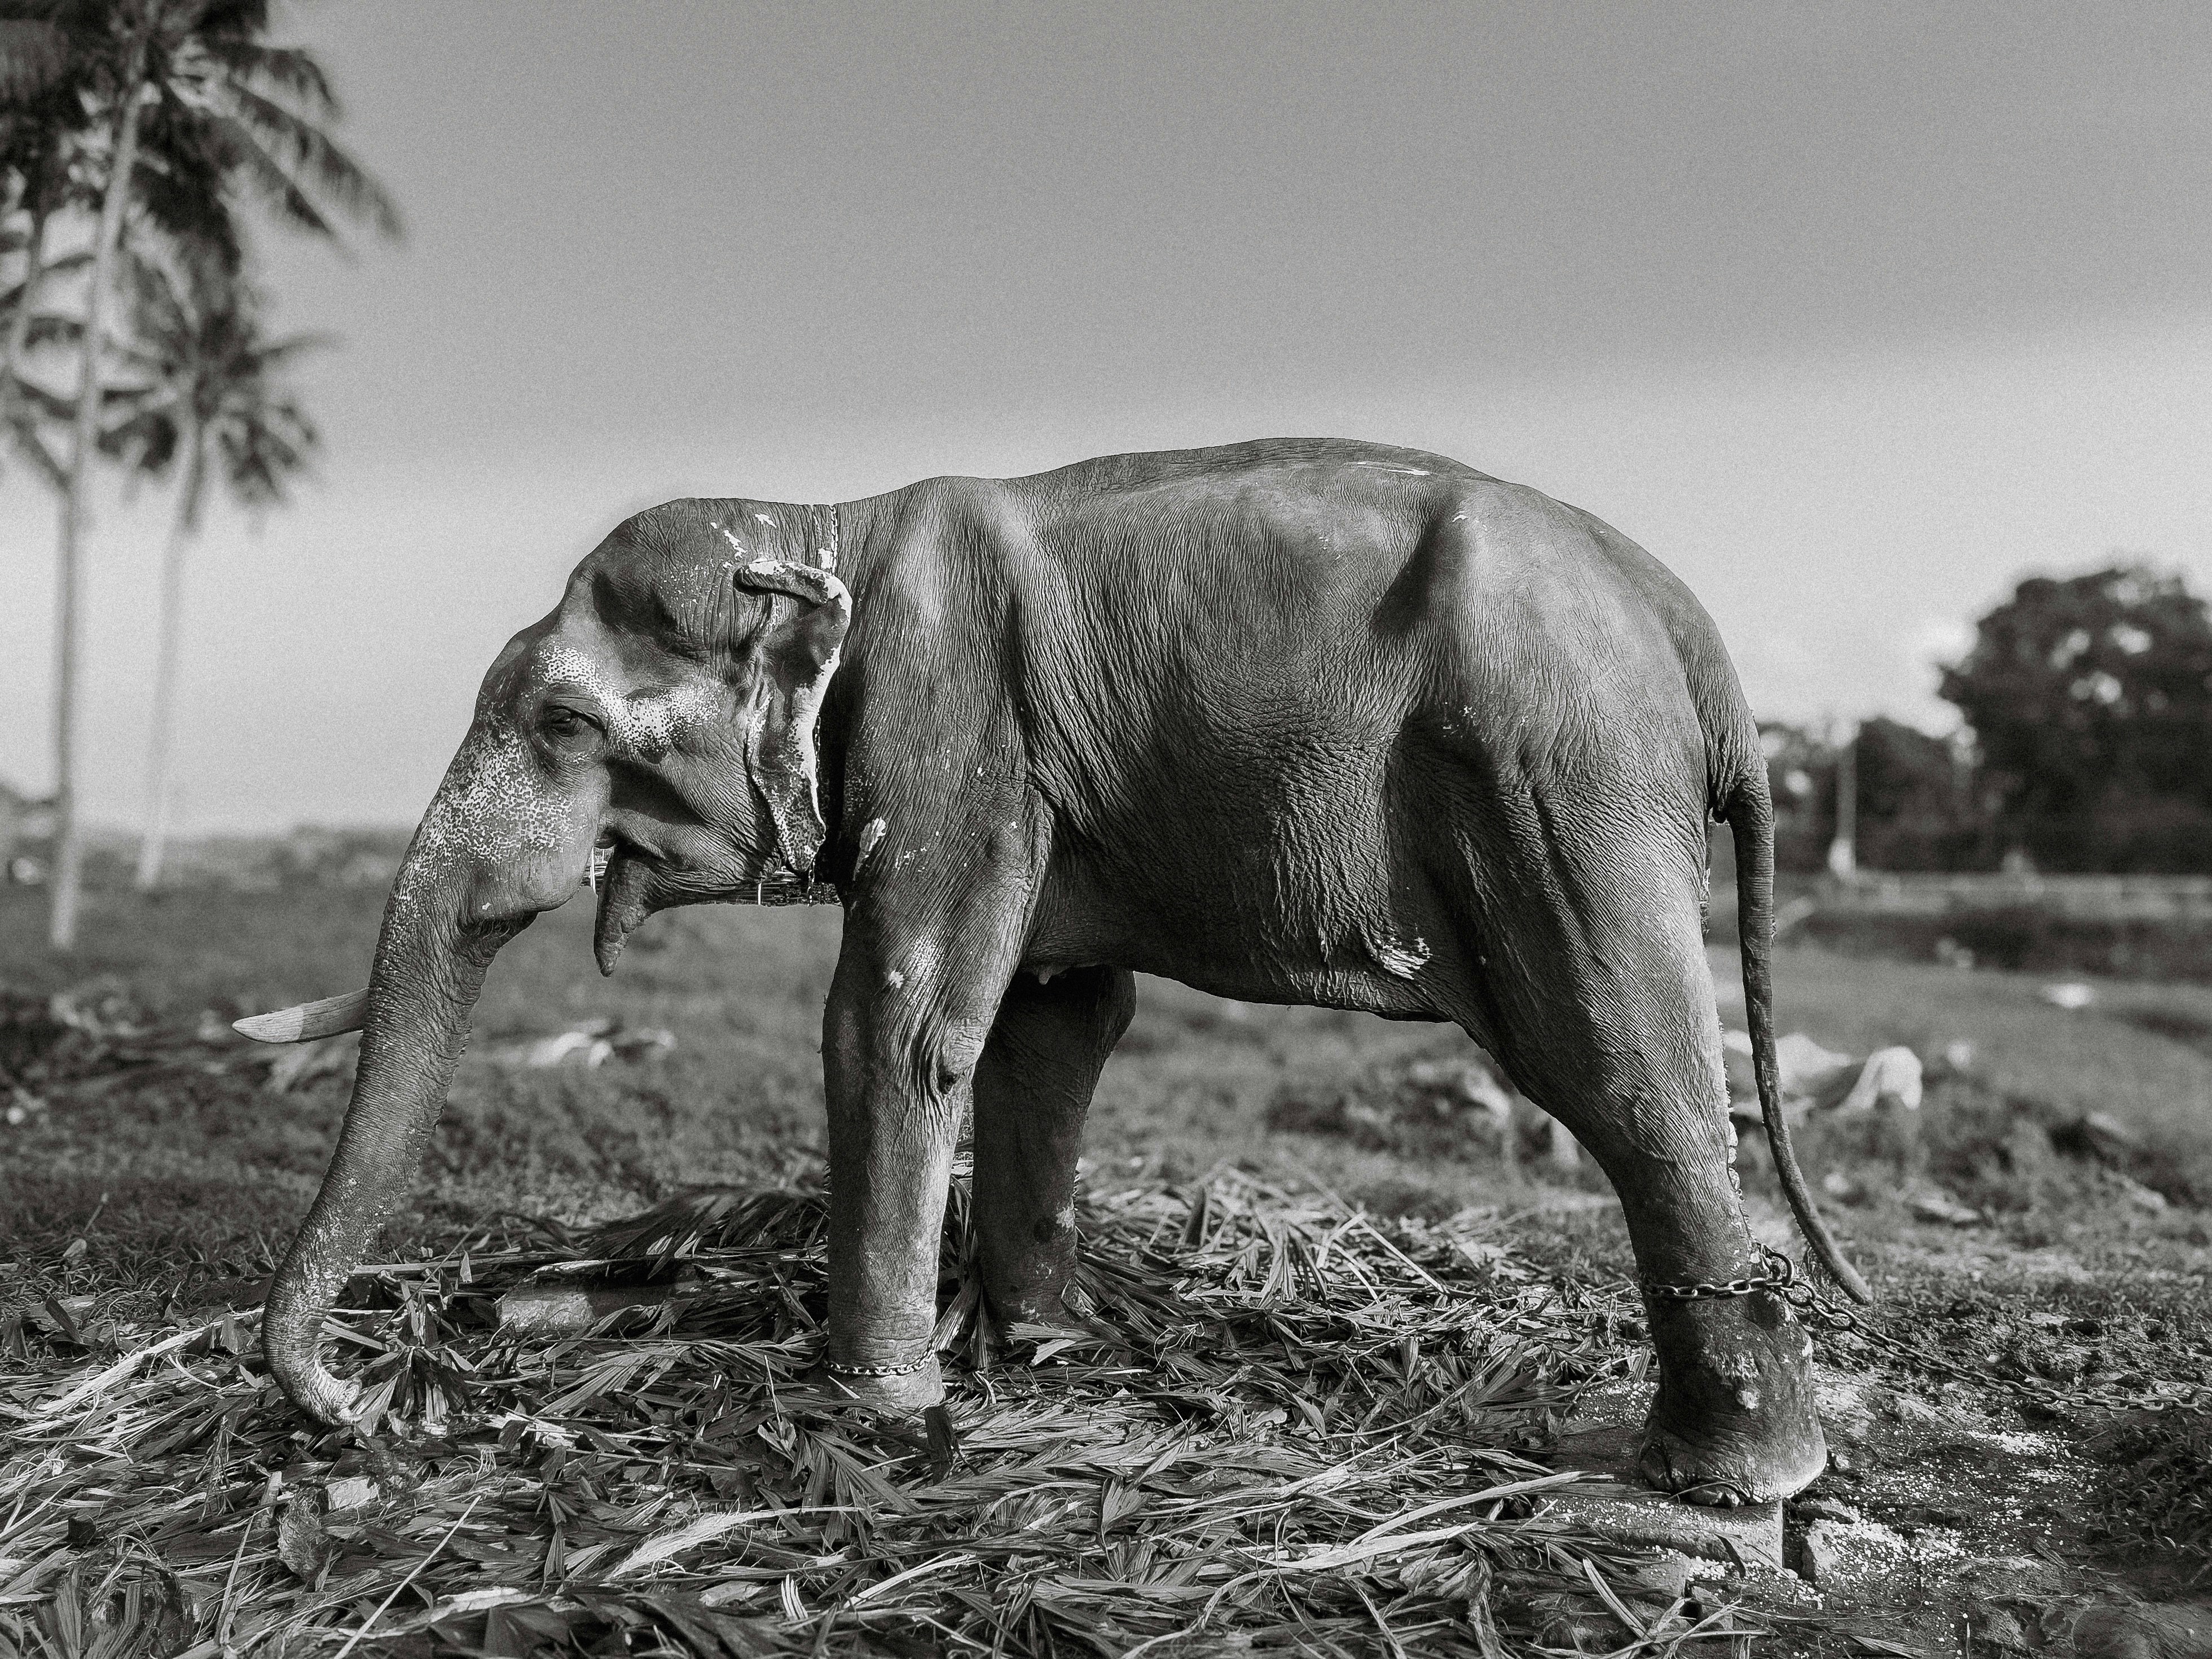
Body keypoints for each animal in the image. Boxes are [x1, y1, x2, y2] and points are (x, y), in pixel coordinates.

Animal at [240, 437, 1867, 1507]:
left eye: (566, 725)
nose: (373, 1408)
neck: (829, 517)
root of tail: (1697, 639)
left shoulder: (950, 725)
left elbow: (898, 1024)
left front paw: (878, 1409)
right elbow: (1053, 1020)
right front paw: (1043, 1348)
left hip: (1560, 790)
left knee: (1621, 1072)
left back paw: (1721, 1486)